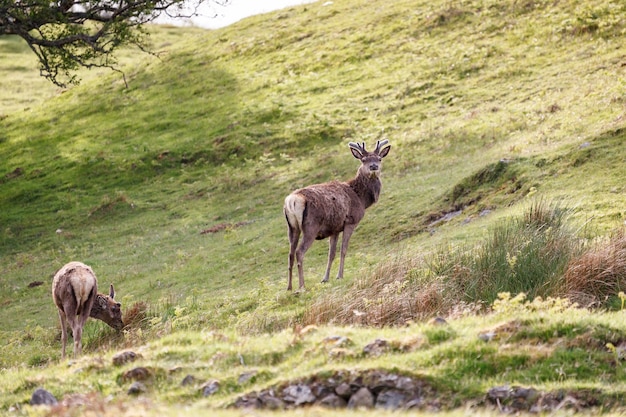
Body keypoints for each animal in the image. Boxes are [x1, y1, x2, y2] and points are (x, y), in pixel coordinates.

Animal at [282, 140, 390, 290]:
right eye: (363, 160)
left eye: (379, 158)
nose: (373, 166)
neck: (361, 199)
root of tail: (292, 200)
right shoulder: (351, 221)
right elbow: (343, 250)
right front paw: (339, 275)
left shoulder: (335, 229)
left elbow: (331, 254)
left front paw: (325, 278)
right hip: (311, 226)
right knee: (299, 252)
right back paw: (302, 286)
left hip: (292, 228)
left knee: (290, 254)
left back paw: (289, 287)